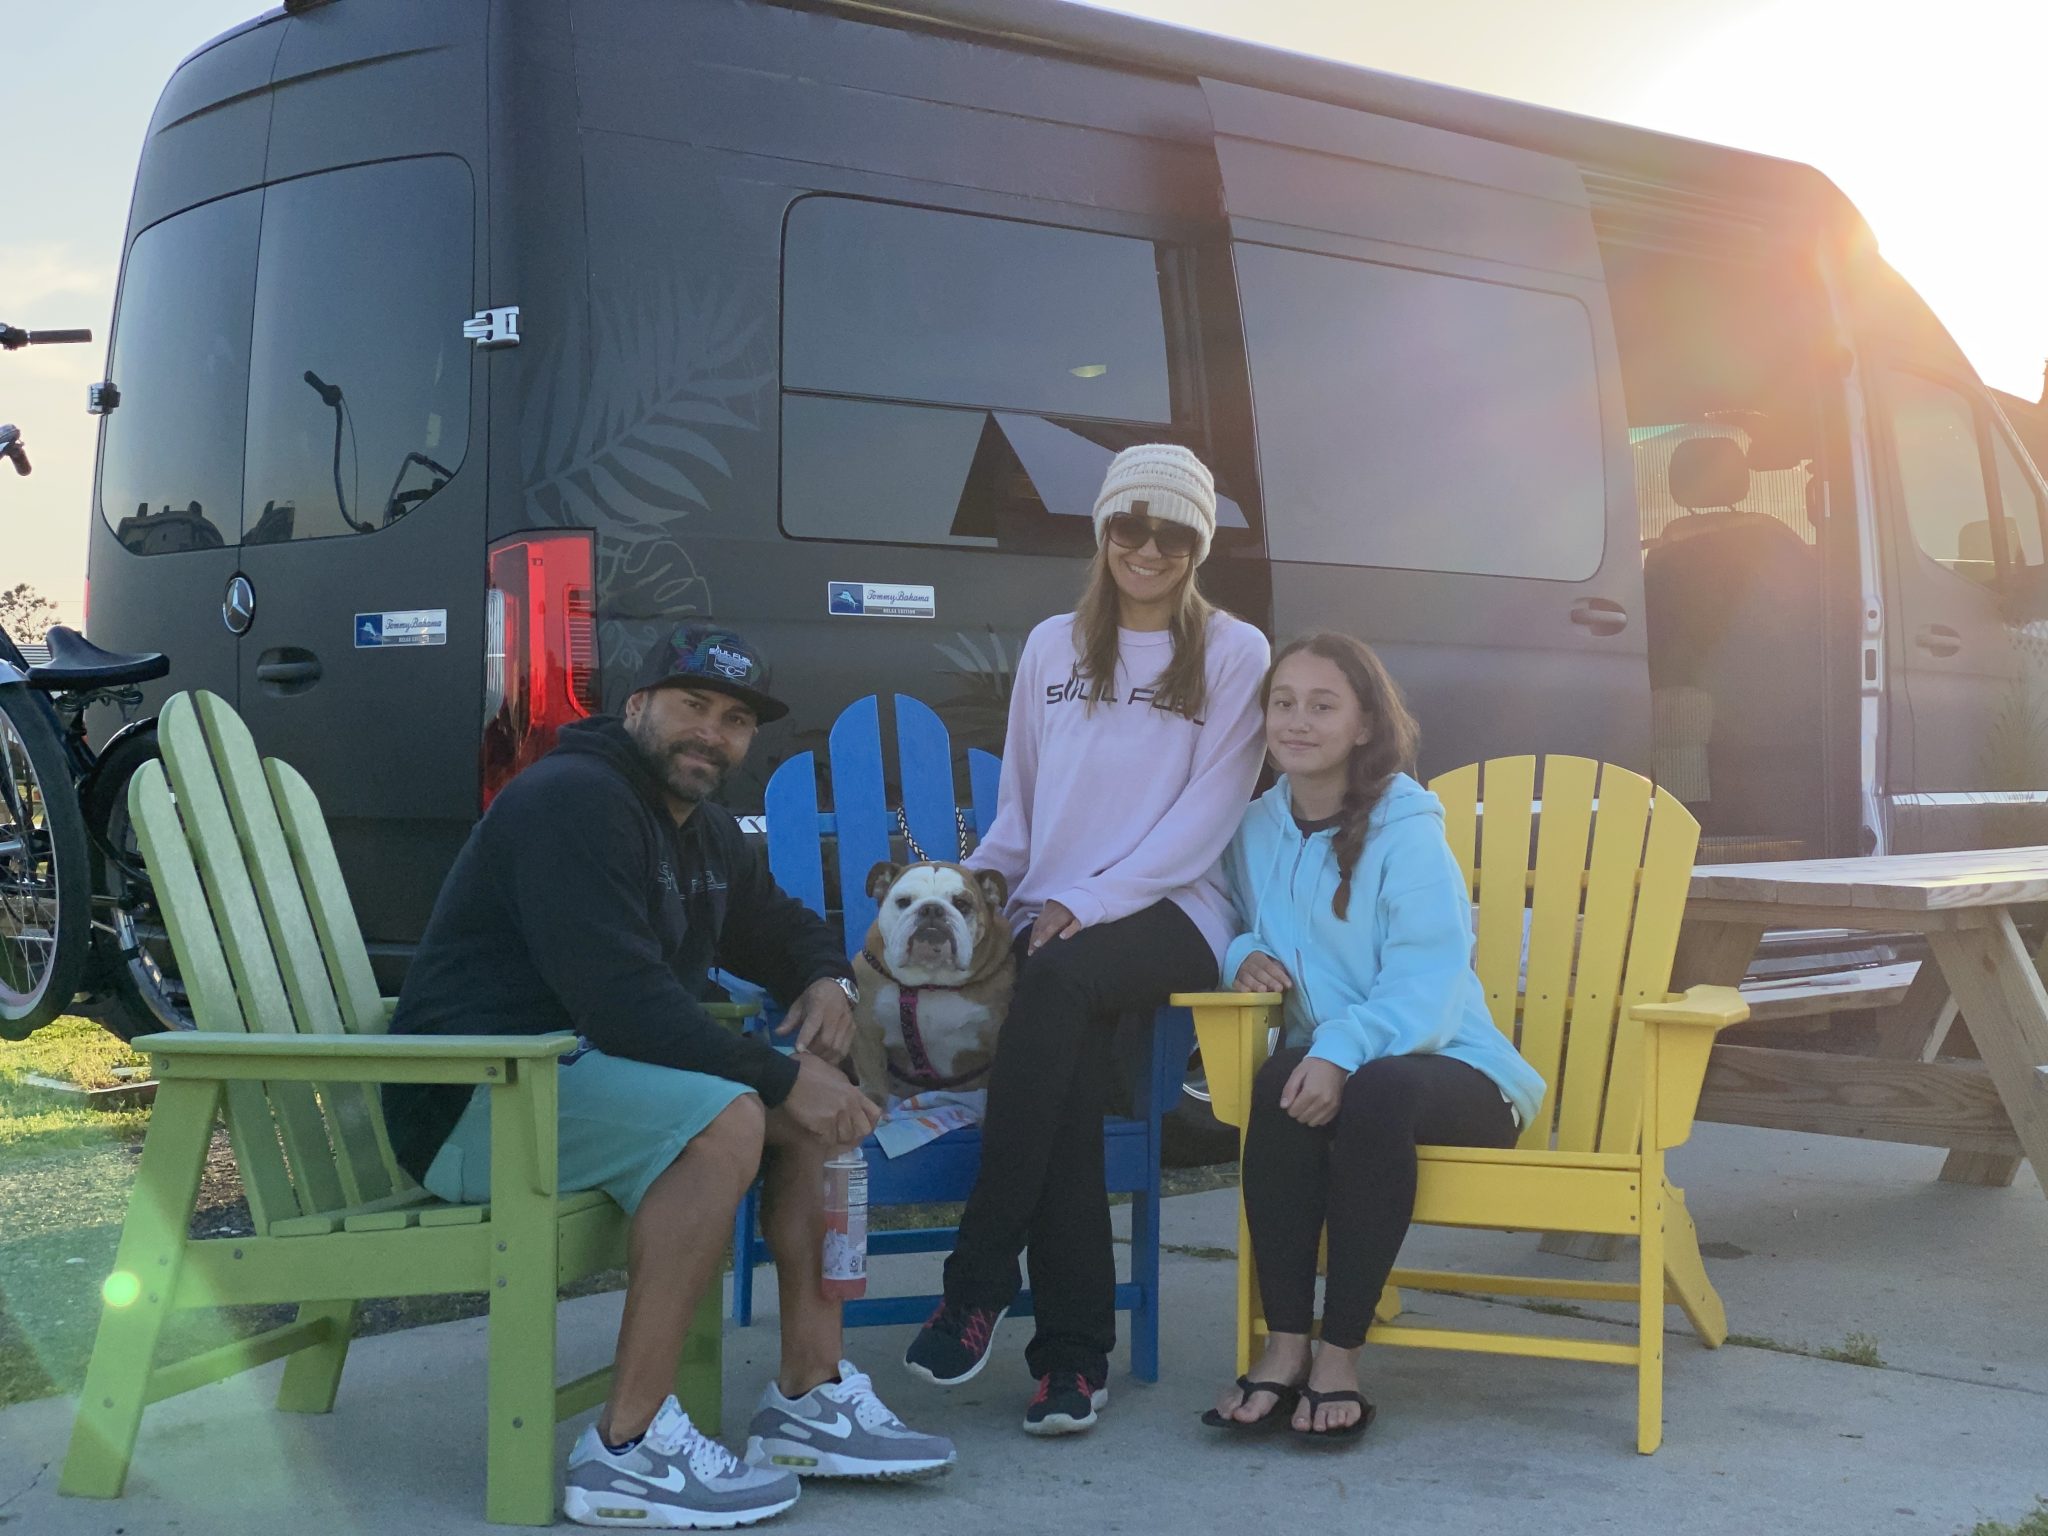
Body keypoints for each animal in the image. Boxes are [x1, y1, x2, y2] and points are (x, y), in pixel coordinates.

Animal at [848, 860, 1016, 1111]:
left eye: (961, 903)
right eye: (903, 901)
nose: (932, 909)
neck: (932, 981)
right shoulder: (866, 1028)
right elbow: (872, 1073)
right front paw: (873, 1102)